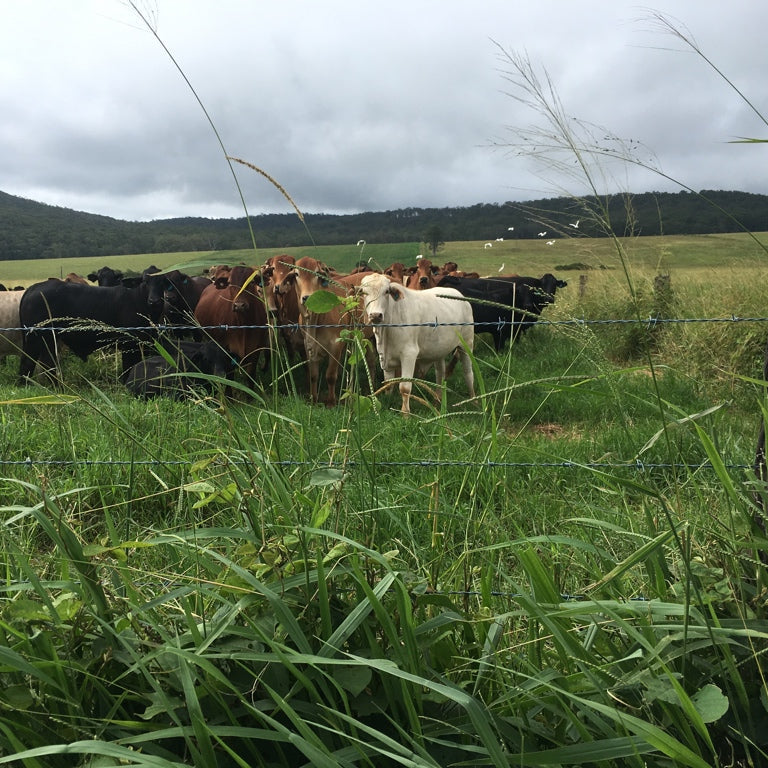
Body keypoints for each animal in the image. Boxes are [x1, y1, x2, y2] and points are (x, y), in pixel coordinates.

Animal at [18, 275, 164, 383]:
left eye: (163, 282)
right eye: (145, 282)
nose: (154, 301)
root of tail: (33, 288)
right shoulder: (129, 344)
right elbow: (128, 367)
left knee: (47, 365)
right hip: (36, 339)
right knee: (28, 363)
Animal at [359, 272, 475, 415]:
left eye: (386, 291)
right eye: (364, 292)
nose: (375, 315)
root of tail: (459, 295)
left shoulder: (409, 354)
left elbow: (404, 387)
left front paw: (405, 413)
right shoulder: (385, 358)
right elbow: (388, 384)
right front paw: (389, 401)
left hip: (467, 344)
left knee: (468, 373)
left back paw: (474, 400)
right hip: (439, 349)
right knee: (440, 374)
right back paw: (437, 400)